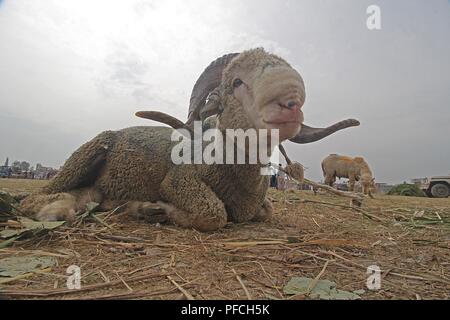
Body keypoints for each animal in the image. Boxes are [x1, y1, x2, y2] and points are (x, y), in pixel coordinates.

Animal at [21, 47, 360, 231]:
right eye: (236, 82)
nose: (291, 102)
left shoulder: (260, 205)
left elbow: (267, 211)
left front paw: (145, 209)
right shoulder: (178, 180)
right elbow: (214, 213)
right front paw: (157, 210)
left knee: (88, 196)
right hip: (85, 155)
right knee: (31, 198)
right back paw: (59, 211)